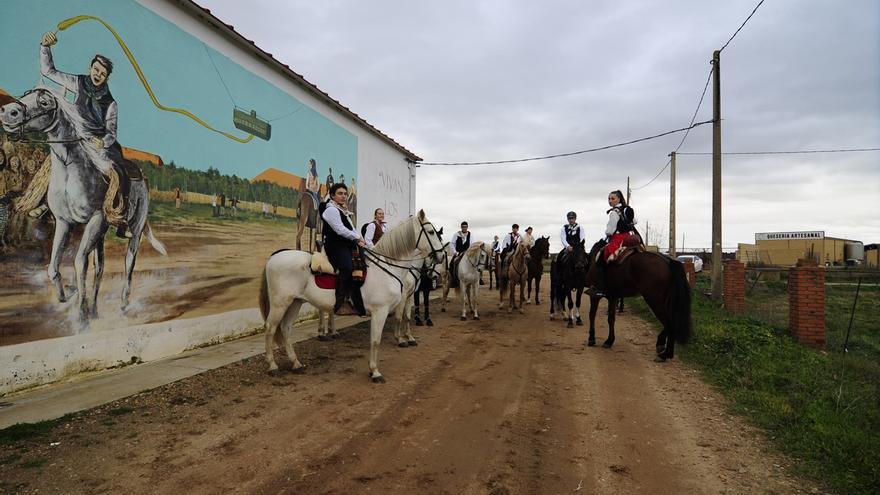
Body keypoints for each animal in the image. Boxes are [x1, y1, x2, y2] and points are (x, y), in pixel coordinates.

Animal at [0, 87, 166, 328]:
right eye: (25, 94)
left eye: (44, 102)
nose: (8, 112)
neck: (71, 171)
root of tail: (142, 178)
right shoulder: (64, 222)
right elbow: (53, 267)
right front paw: (67, 296)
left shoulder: (96, 220)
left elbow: (80, 263)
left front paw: (81, 314)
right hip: (101, 236)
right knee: (100, 267)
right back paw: (95, 309)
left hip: (134, 233)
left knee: (128, 265)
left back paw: (123, 304)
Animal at [258, 209, 444, 384]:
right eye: (431, 232)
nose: (441, 255)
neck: (387, 267)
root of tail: (275, 256)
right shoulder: (380, 311)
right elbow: (376, 340)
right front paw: (375, 371)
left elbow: (400, 320)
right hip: (280, 304)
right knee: (270, 328)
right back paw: (273, 365)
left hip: (295, 302)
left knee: (285, 329)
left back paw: (296, 363)